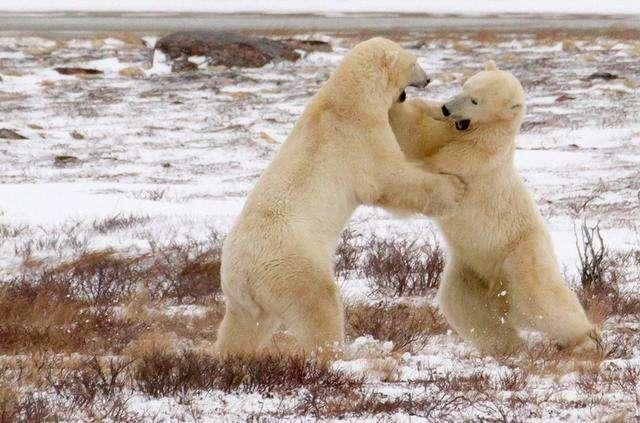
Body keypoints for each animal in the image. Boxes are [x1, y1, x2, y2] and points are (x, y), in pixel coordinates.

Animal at [388, 61, 604, 356]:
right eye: (464, 87)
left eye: (475, 100)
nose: (446, 108)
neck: (484, 133)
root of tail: (498, 287)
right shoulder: (452, 132)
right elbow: (422, 131)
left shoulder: (475, 157)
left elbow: (424, 150)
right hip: (470, 266)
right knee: (463, 303)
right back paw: (506, 346)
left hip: (521, 253)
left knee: (540, 299)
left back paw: (585, 339)